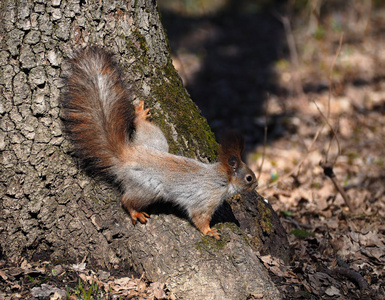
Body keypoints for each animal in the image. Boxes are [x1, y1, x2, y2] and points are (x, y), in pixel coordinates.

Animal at [61, 47, 256, 239]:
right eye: (249, 178)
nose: (256, 185)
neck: (222, 178)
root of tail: (126, 155)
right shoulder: (206, 199)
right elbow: (199, 217)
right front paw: (210, 232)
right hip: (146, 189)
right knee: (126, 200)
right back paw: (135, 212)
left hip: (156, 141)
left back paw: (140, 116)